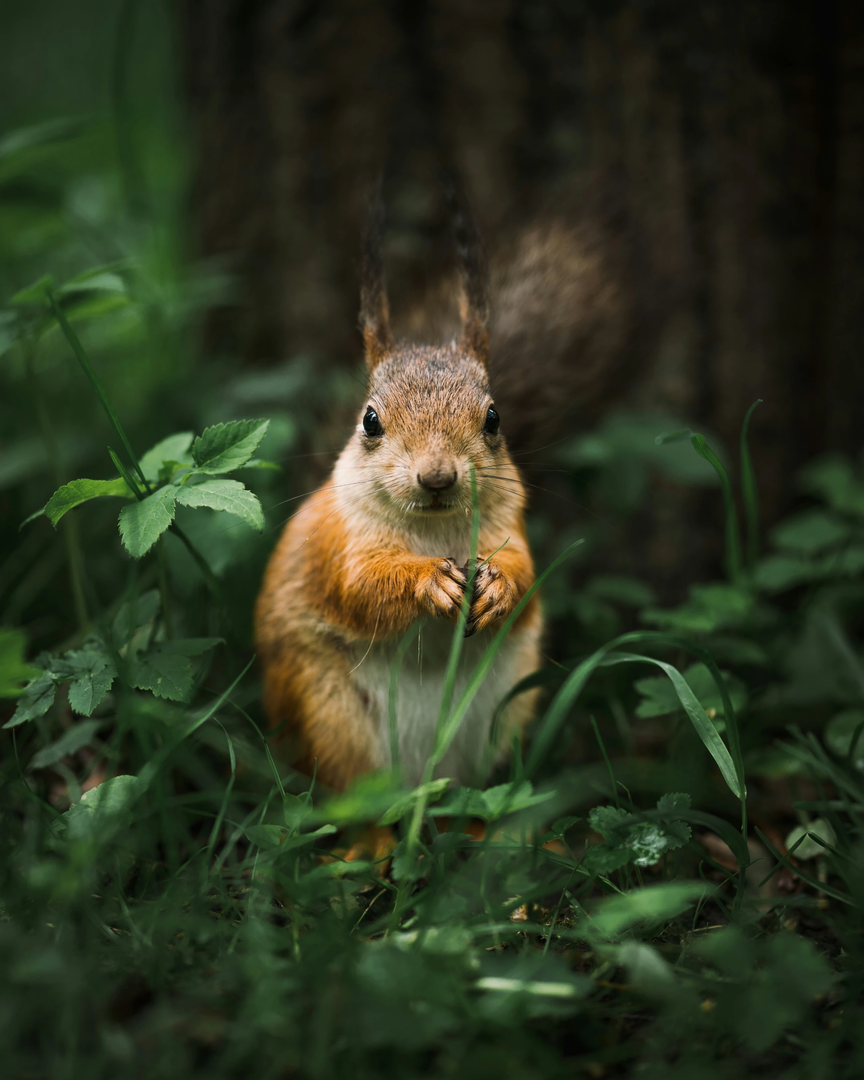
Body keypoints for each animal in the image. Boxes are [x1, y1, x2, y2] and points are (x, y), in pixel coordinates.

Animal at [255, 180, 651, 793]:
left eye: (493, 418)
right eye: (370, 421)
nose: (437, 476)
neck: (435, 530)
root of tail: (424, 775)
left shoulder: (510, 525)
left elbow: (527, 572)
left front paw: (499, 588)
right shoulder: (339, 546)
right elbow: (361, 588)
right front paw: (429, 583)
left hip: (498, 713)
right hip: (324, 711)